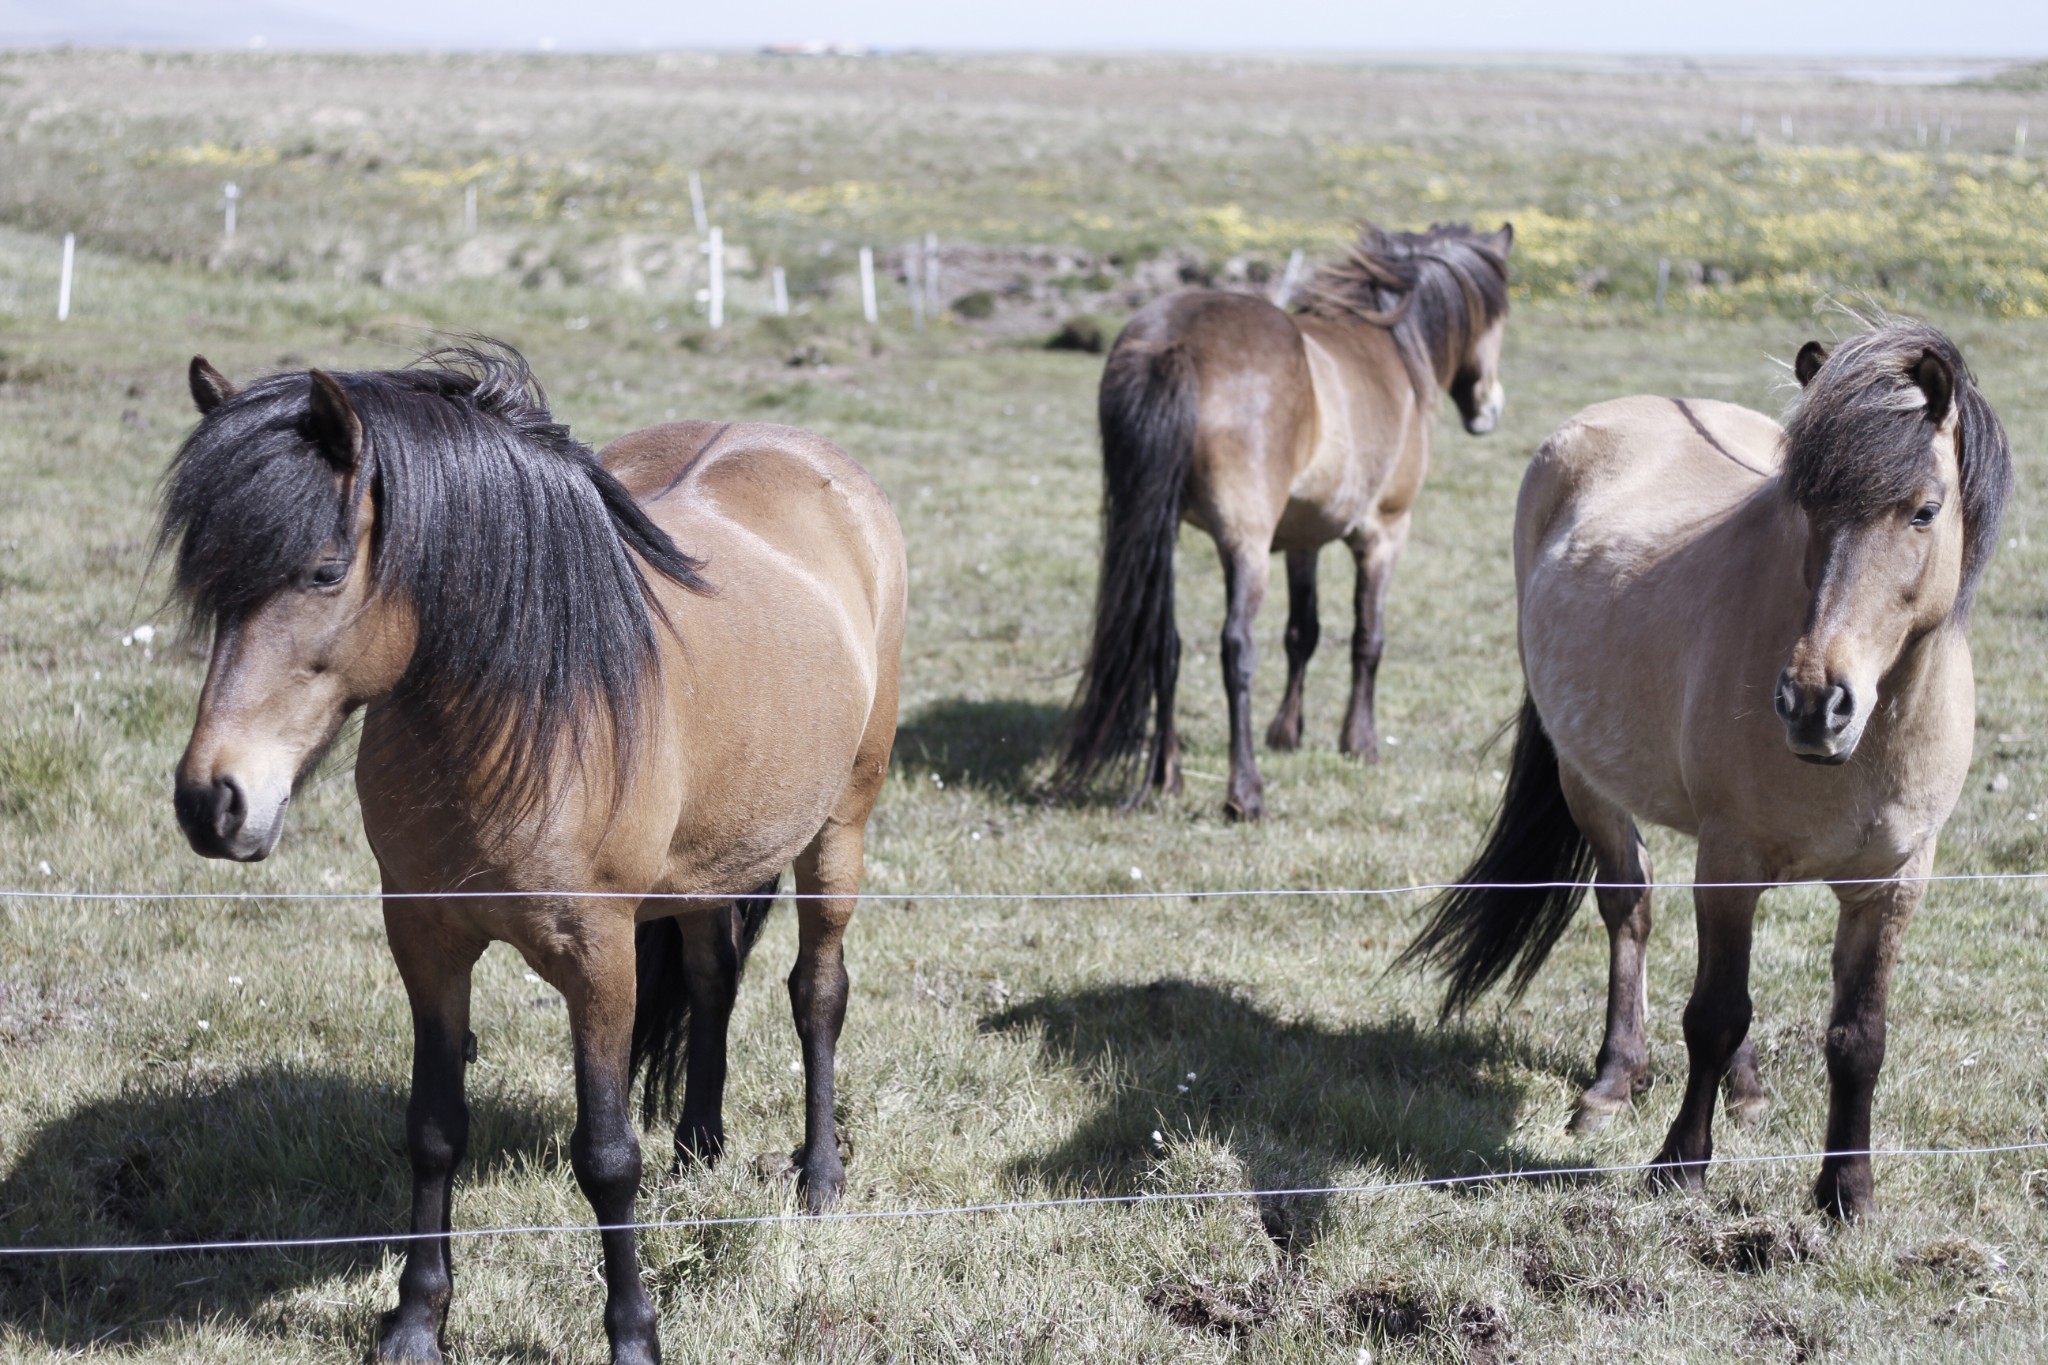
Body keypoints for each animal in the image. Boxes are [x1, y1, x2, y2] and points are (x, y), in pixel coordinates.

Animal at [153, 347, 905, 1358]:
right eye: (208, 582)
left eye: (322, 571)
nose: (213, 800)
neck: (521, 712)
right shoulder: (426, 942)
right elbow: (434, 1127)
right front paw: (416, 1318)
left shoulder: (599, 959)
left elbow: (607, 1155)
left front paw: (633, 1334)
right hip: (712, 863)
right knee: (713, 980)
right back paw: (697, 1148)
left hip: (840, 827)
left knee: (816, 991)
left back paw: (820, 1176)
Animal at [1064, 223, 1515, 818]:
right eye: (1499, 316)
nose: (1490, 409)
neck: (1389, 345)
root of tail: (1173, 344)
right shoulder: (1384, 534)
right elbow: (1367, 638)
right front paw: (1360, 743)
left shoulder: (1304, 540)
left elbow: (1303, 633)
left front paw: (1286, 733)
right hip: (1245, 544)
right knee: (1236, 646)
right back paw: (1245, 791)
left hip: (1159, 531)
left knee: (1164, 641)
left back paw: (1168, 774)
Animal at [1400, 317, 2007, 1219]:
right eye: (1805, 508)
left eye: (1925, 511)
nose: (1813, 703)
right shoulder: (1730, 859)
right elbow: (1715, 1015)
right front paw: (1680, 1164)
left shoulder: (1895, 883)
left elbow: (1858, 1037)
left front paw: (1847, 1191)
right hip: (1592, 783)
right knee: (1630, 910)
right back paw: (1614, 1081)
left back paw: (1748, 1093)